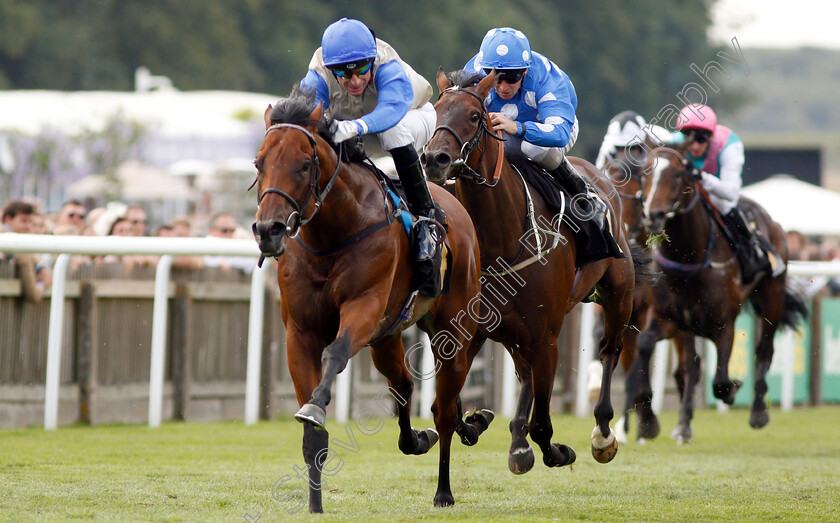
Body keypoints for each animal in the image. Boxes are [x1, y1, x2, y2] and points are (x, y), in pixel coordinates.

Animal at [253, 89, 488, 512]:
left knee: (445, 409)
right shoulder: (299, 332)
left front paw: (316, 405)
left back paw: (443, 491)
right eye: (258, 163)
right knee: (404, 385)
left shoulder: (363, 307)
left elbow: (336, 352)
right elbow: (313, 434)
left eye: (303, 165)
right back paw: (420, 439)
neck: (331, 235)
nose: (268, 230)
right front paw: (315, 506)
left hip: (454, 330)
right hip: (388, 336)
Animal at [424, 69, 640, 470]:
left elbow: (543, 425)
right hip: (512, 331)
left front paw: (556, 450)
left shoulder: (547, 339)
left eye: (474, 116)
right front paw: (480, 421)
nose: (434, 158)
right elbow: (445, 406)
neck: (502, 239)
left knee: (609, 350)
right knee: (524, 372)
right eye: (435, 110)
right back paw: (517, 438)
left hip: (619, 293)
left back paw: (602, 432)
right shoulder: (473, 330)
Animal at [636, 144, 808, 442]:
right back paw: (683, 424)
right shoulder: (668, 318)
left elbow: (719, 382)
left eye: (678, 174)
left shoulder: (723, 324)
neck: (690, 261)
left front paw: (733, 389)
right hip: (687, 328)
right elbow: (646, 344)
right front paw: (649, 421)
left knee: (764, 350)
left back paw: (758, 412)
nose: (653, 215)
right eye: (646, 171)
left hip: (772, 295)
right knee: (690, 367)